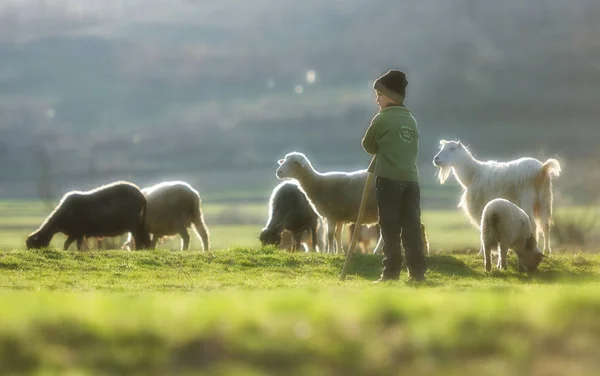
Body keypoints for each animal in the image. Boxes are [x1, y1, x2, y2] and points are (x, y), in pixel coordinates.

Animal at [274, 151, 428, 254]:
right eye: (284, 161)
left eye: (294, 163)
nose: (278, 172)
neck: (317, 184)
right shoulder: (339, 217)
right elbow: (337, 235)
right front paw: (339, 252)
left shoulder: (331, 215)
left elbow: (330, 236)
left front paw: (329, 253)